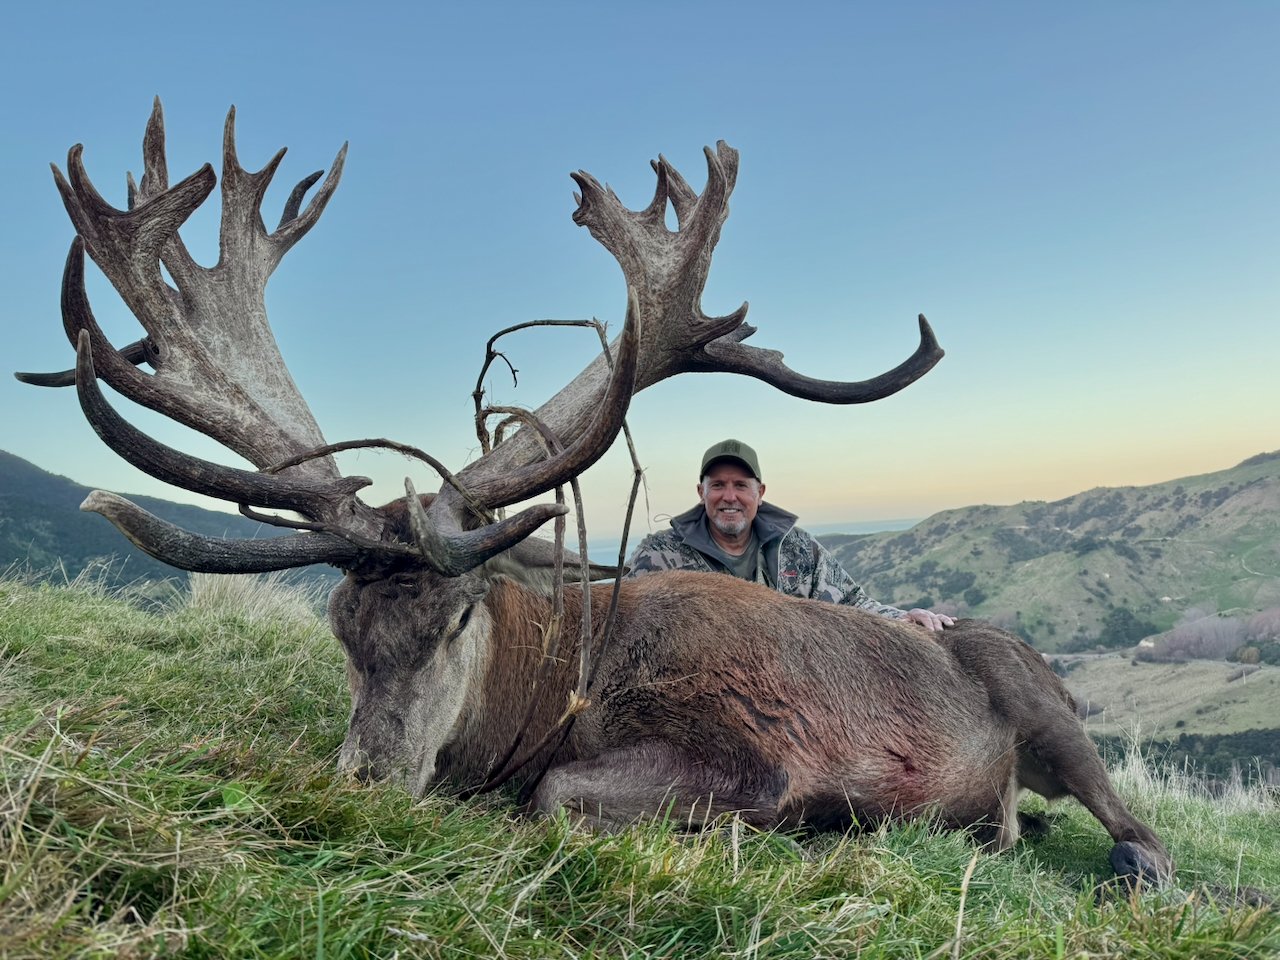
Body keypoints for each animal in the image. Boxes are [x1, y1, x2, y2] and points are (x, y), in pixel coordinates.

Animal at [17, 100, 1172, 886]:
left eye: (458, 619)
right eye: (340, 627)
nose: (368, 781)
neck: (555, 684)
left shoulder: (756, 756)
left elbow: (556, 795)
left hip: (1047, 709)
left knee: (1136, 828)